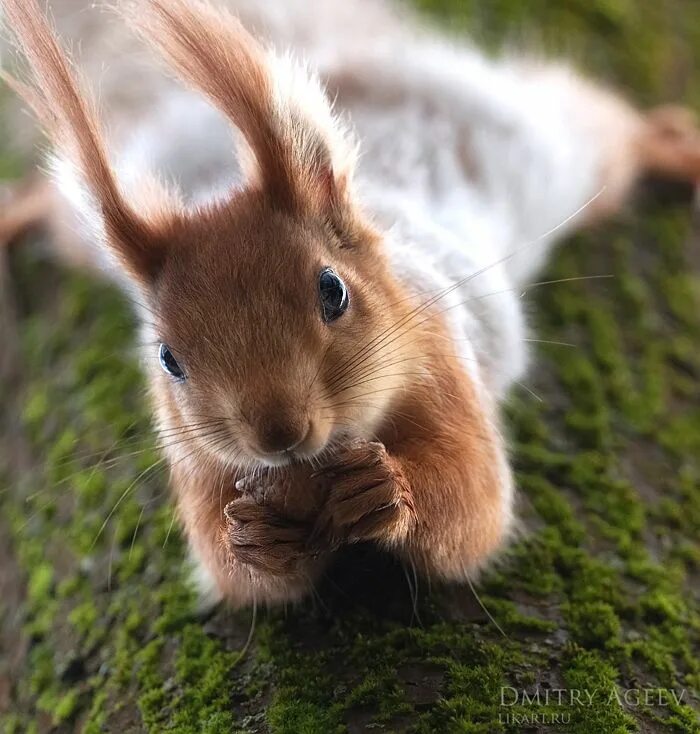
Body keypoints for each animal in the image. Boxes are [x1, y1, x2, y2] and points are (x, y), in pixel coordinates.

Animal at [1, 0, 700, 608]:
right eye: (168, 358)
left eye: (333, 292)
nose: (278, 434)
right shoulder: (195, 462)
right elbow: (233, 571)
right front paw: (251, 538)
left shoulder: (444, 365)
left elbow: (473, 506)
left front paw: (387, 491)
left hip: (550, 141)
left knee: (603, 121)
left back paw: (675, 146)